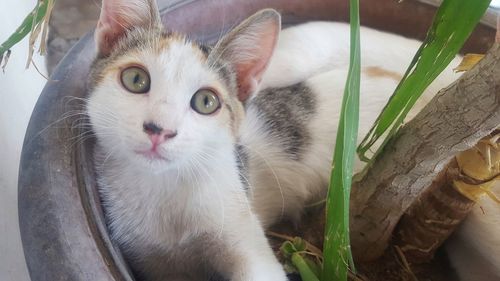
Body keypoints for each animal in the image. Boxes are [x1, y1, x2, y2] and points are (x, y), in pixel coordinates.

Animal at [87, 0, 500, 280]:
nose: (160, 129)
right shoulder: (149, 259)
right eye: (136, 80)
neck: (163, 196)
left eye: (206, 102)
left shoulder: (238, 224)